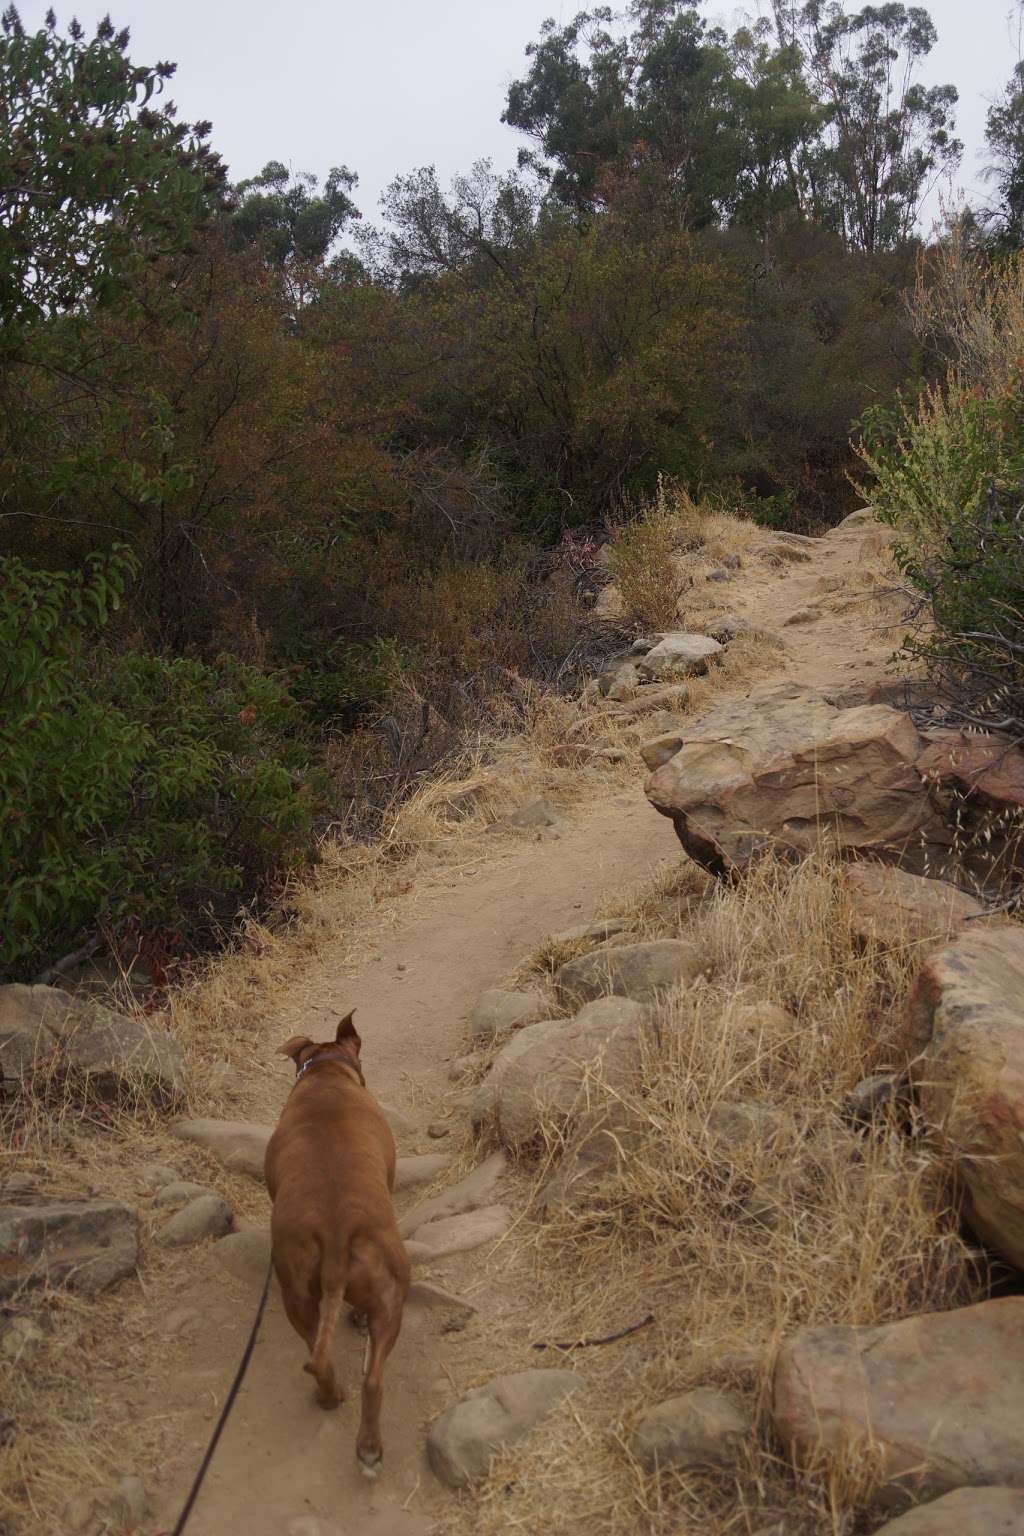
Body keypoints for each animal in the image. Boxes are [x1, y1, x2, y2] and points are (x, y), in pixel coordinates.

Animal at [262, 1007, 411, 1474]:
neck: (326, 1074)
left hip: (299, 1294)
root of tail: (336, 1228)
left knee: (324, 1361)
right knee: (371, 1377)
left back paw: (342, 1413)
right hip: (392, 1292)